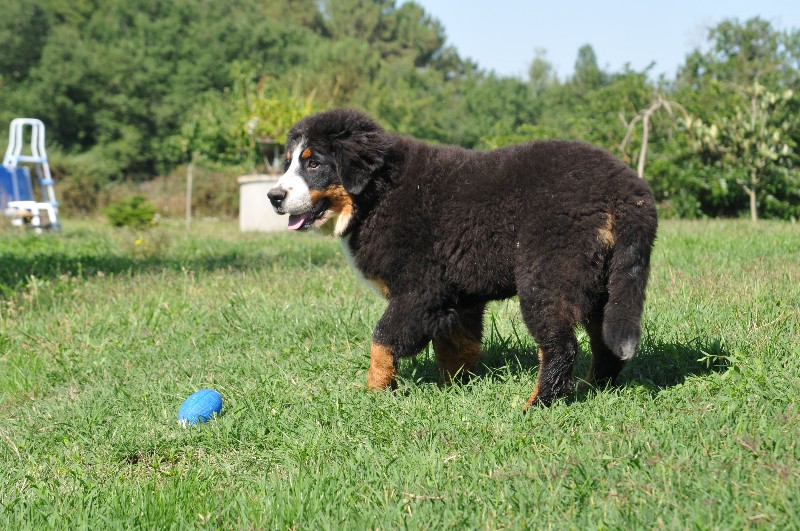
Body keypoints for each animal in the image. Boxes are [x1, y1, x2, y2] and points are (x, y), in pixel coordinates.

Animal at [268, 106, 656, 410]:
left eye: (314, 163)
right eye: (288, 163)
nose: (273, 196)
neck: (377, 197)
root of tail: (627, 188)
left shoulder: (419, 291)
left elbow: (382, 339)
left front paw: (374, 392)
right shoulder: (456, 297)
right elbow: (458, 348)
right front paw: (454, 391)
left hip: (546, 277)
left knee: (560, 347)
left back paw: (537, 404)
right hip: (600, 284)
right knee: (604, 343)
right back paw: (595, 389)